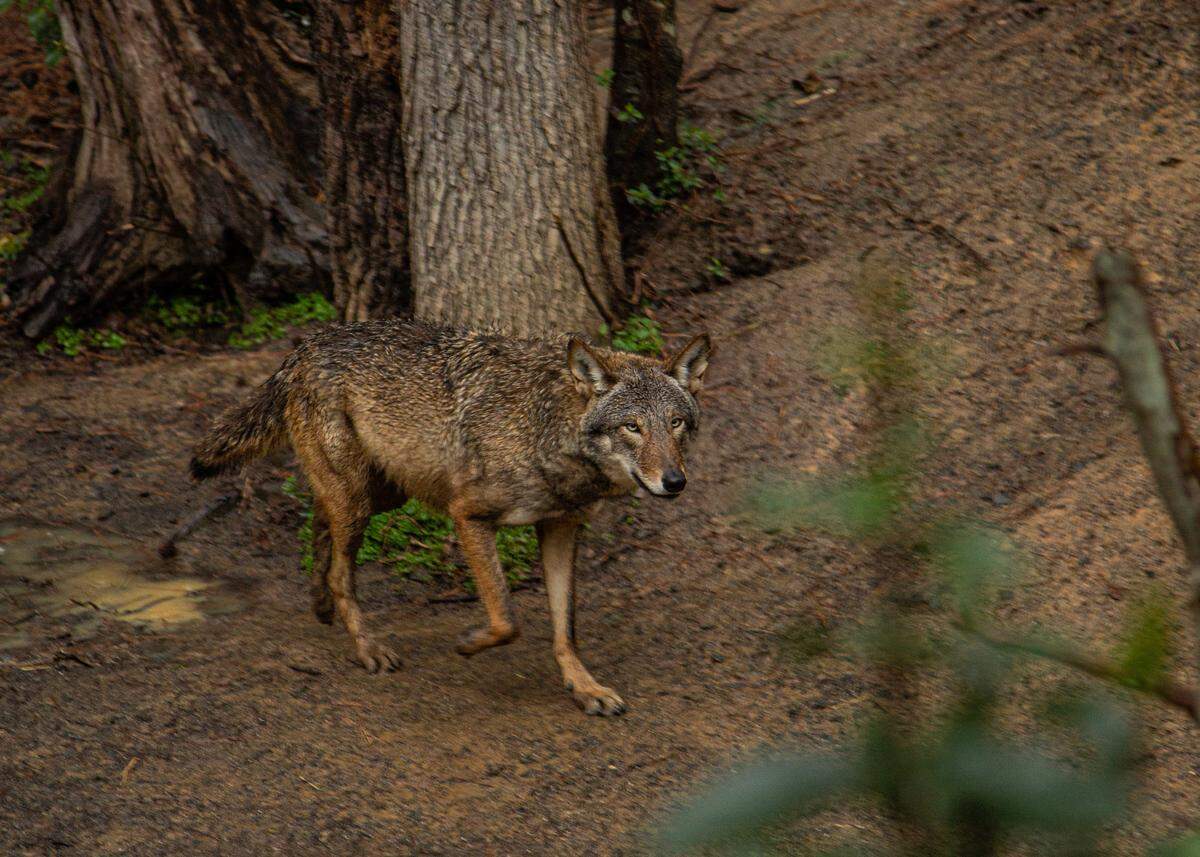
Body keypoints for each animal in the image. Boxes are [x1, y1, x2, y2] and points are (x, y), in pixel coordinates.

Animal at [191, 318, 711, 715]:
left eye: (675, 424)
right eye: (632, 427)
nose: (674, 481)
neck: (545, 428)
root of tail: (305, 347)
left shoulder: (561, 528)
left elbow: (565, 627)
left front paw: (585, 688)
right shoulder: (469, 517)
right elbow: (506, 618)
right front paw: (468, 641)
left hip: (381, 494)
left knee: (319, 524)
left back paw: (320, 605)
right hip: (361, 500)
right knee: (341, 569)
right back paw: (367, 647)